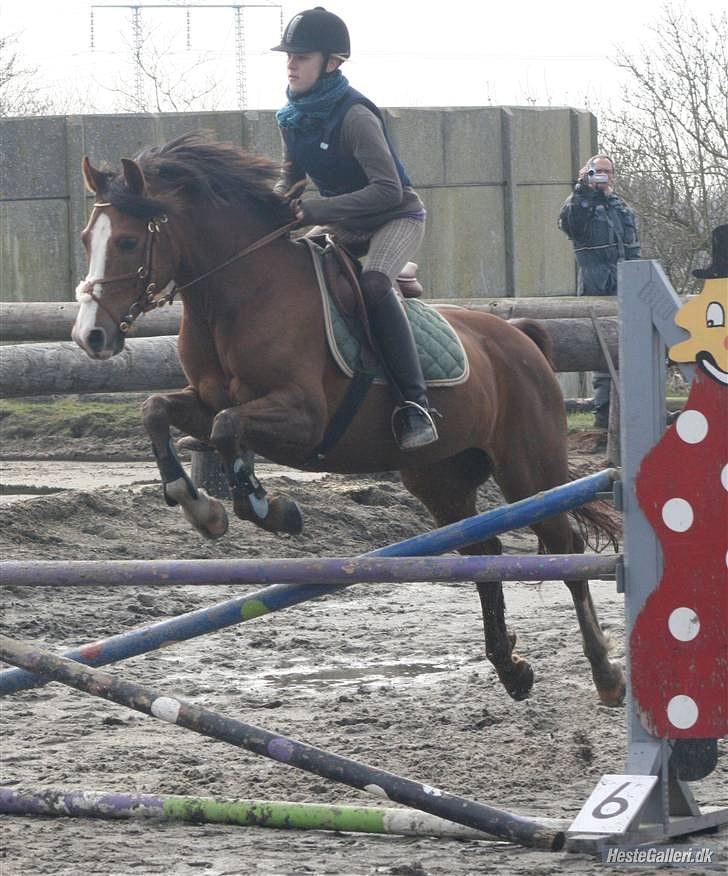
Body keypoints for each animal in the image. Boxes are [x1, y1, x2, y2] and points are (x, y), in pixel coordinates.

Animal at [71, 132, 624, 704]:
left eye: (128, 242)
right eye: (89, 238)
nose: (91, 336)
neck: (239, 295)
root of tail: (521, 337)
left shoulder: (304, 419)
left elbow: (228, 427)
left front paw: (270, 509)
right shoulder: (204, 402)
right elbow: (159, 411)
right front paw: (203, 509)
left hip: (527, 469)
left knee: (566, 550)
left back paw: (605, 675)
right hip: (440, 477)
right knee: (485, 552)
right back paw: (510, 668)